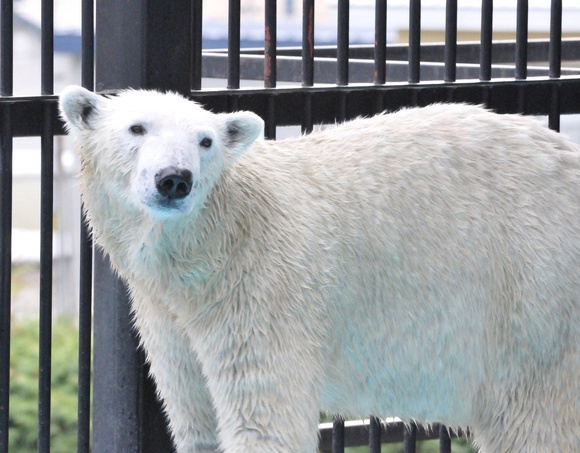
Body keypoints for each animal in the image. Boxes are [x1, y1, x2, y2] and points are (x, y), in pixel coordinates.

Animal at [60, 85, 580, 452]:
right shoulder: (167, 314)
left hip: (535, 307)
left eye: (204, 141)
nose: (174, 179)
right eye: (136, 128)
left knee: (534, 425)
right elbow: (194, 414)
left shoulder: (263, 293)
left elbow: (264, 420)